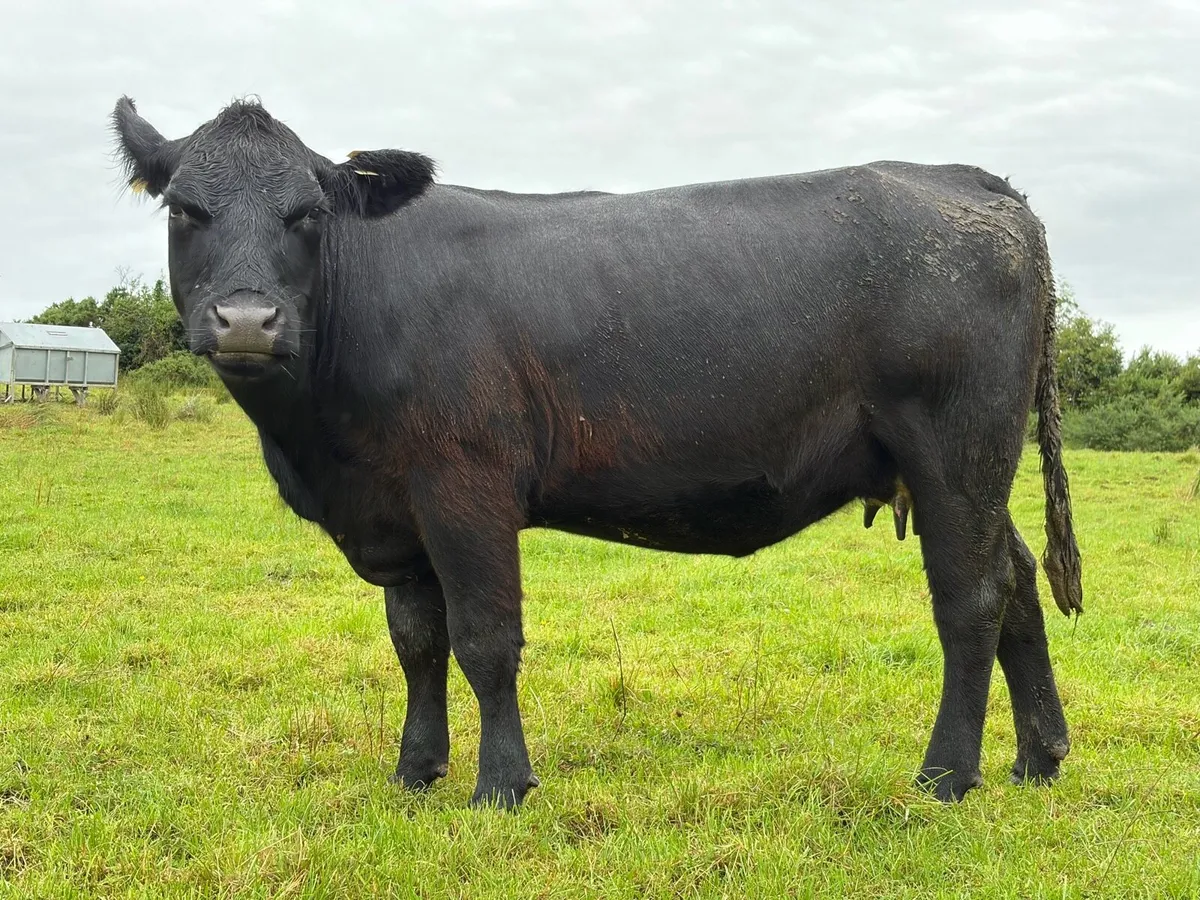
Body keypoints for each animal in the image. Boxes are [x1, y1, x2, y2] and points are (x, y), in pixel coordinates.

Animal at [111, 96, 1083, 810]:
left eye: (307, 213)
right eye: (185, 208)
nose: (246, 321)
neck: (320, 447)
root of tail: (967, 179)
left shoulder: (464, 485)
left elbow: (484, 638)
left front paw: (500, 786)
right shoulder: (396, 511)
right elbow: (417, 643)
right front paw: (414, 773)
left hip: (955, 448)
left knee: (971, 598)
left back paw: (946, 776)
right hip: (967, 469)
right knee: (1017, 579)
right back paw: (1039, 758)